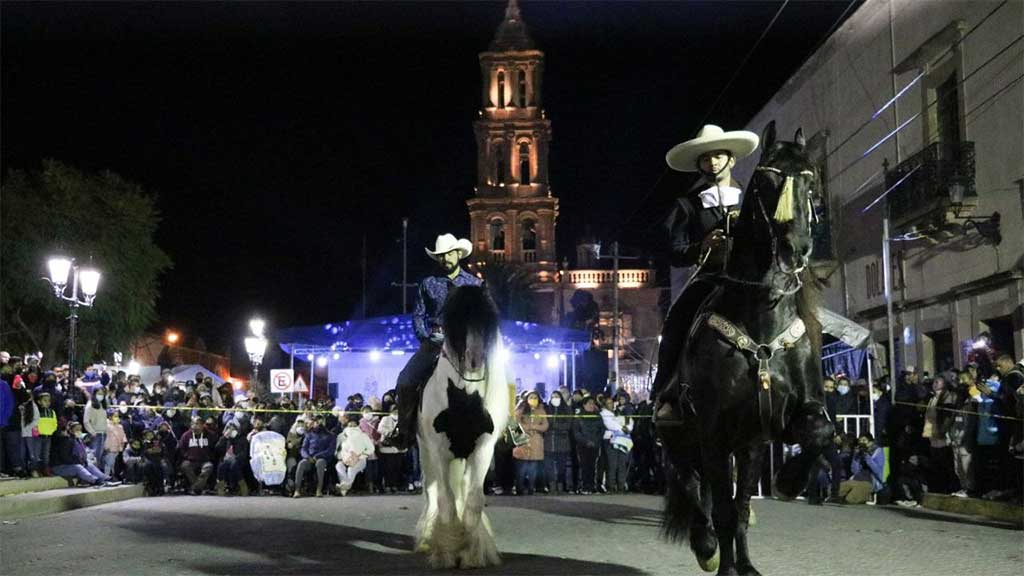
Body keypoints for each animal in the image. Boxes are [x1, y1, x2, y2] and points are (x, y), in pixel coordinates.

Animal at [659, 118, 835, 569]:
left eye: (811, 180)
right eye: (766, 179)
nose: (795, 249)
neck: (761, 322)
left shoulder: (766, 431)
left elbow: (820, 432)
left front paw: (790, 481)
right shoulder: (713, 429)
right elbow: (722, 510)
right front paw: (719, 559)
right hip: (682, 436)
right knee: (691, 484)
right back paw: (704, 546)